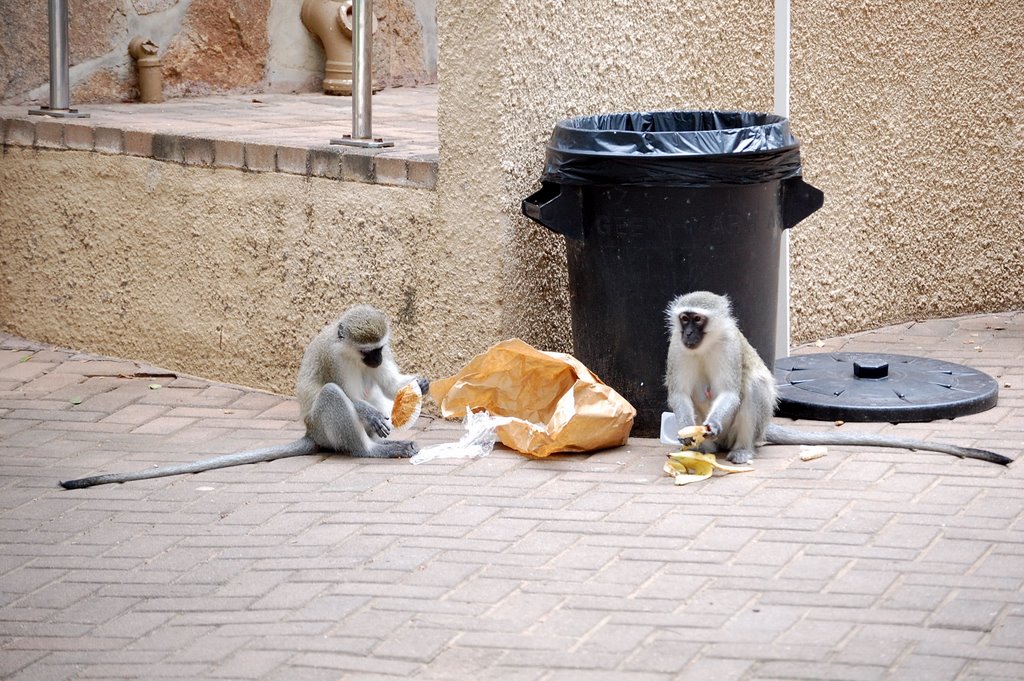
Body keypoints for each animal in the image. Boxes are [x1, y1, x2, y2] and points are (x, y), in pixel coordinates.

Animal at [60, 307, 428, 489]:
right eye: (368, 352)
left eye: (379, 349)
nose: (375, 360)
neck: (352, 355)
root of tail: (311, 433)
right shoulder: (332, 358)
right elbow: (347, 395)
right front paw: (369, 412)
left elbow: (390, 383)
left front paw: (419, 383)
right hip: (324, 426)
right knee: (331, 395)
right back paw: (373, 450)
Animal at [667, 292, 1011, 466]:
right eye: (684, 318)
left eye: (697, 319)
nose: (688, 334)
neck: (706, 344)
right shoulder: (675, 348)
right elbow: (680, 395)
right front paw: (686, 432)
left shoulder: (729, 346)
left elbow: (730, 392)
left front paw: (710, 425)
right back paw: (703, 448)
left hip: (749, 428)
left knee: (753, 385)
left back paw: (742, 449)